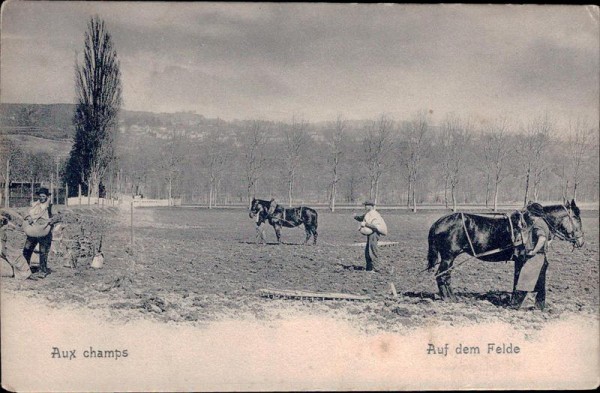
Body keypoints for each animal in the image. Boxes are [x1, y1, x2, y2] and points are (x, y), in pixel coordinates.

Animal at [426, 201, 584, 302]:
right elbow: (518, 280)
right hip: (448, 257)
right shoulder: (521, 258)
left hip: (449, 258)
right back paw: (449, 298)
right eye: (576, 218)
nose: (581, 241)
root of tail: (439, 222)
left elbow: (517, 280)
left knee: (445, 275)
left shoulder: (519, 260)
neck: (530, 226)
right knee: (442, 275)